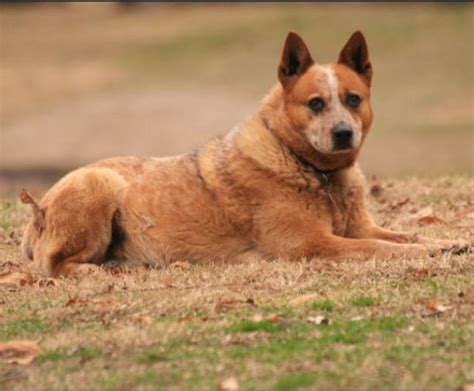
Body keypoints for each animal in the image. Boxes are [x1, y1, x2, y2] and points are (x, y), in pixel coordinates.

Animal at [20, 30, 464, 278]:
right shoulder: (311, 244)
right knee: (54, 267)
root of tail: (39, 208)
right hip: (99, 183)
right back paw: (97, 270)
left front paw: (444, 241)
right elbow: (380, 248)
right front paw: (425, 251)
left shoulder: (358, 227)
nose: (344, 133)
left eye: (353, 99)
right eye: (316, 103)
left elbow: (401, 234)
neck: (315, 172)